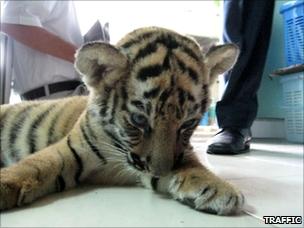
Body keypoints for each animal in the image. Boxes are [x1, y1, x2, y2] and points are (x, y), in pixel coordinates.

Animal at [0, 27, 242, 216]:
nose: (160, 172)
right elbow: (35, 165)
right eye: (139, 120)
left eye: (188, 124)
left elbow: (191, 163)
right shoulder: (70, 149)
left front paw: (218, 189)